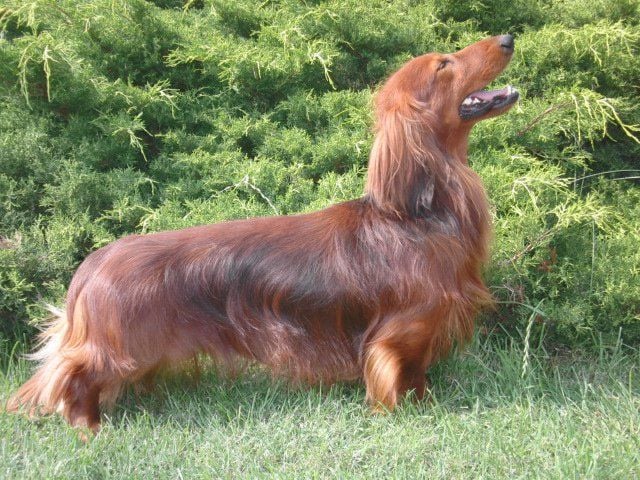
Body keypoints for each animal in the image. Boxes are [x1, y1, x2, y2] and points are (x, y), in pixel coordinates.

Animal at [9, 35, 518, 431]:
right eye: (444, 64)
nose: (508, 38)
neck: (417, 214)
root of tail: (91, 265)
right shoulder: (402, 331)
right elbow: (400, 373)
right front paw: (408, 410)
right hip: (119, 346)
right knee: (71, 372)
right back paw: (86, 426)